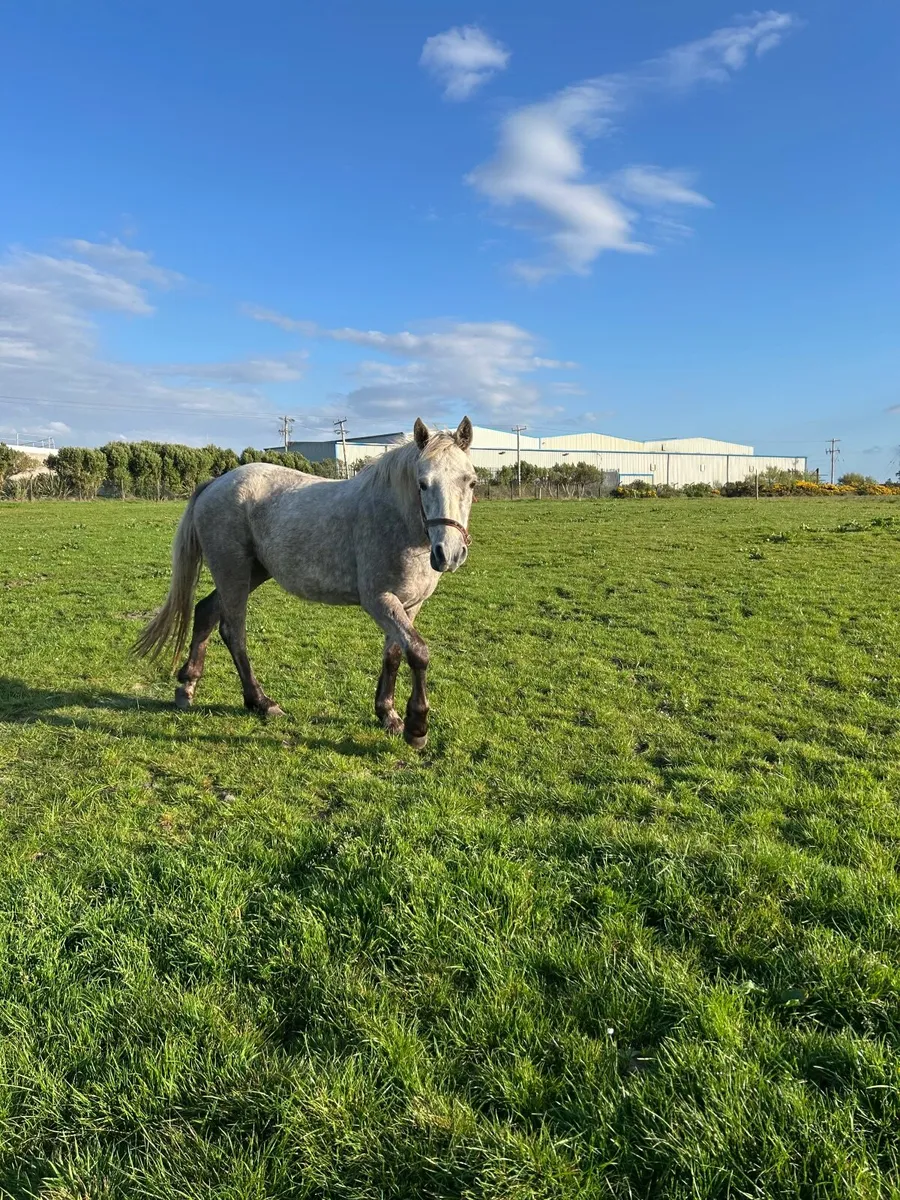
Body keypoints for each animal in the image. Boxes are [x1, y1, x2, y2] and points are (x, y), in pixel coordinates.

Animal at [134, 417, 476, 749]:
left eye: (470, 481)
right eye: (422, 483)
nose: (449, 553)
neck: (397, 520)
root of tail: (215, 483)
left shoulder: (410, 604)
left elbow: (394, 655)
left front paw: (387, 714)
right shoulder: (379, 600)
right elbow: (418, 653)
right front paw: (416, 727)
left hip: (251, 572)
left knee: (206, 613)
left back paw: (187, 687)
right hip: (232, 570)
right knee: (233, 631)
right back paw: (261, 701)